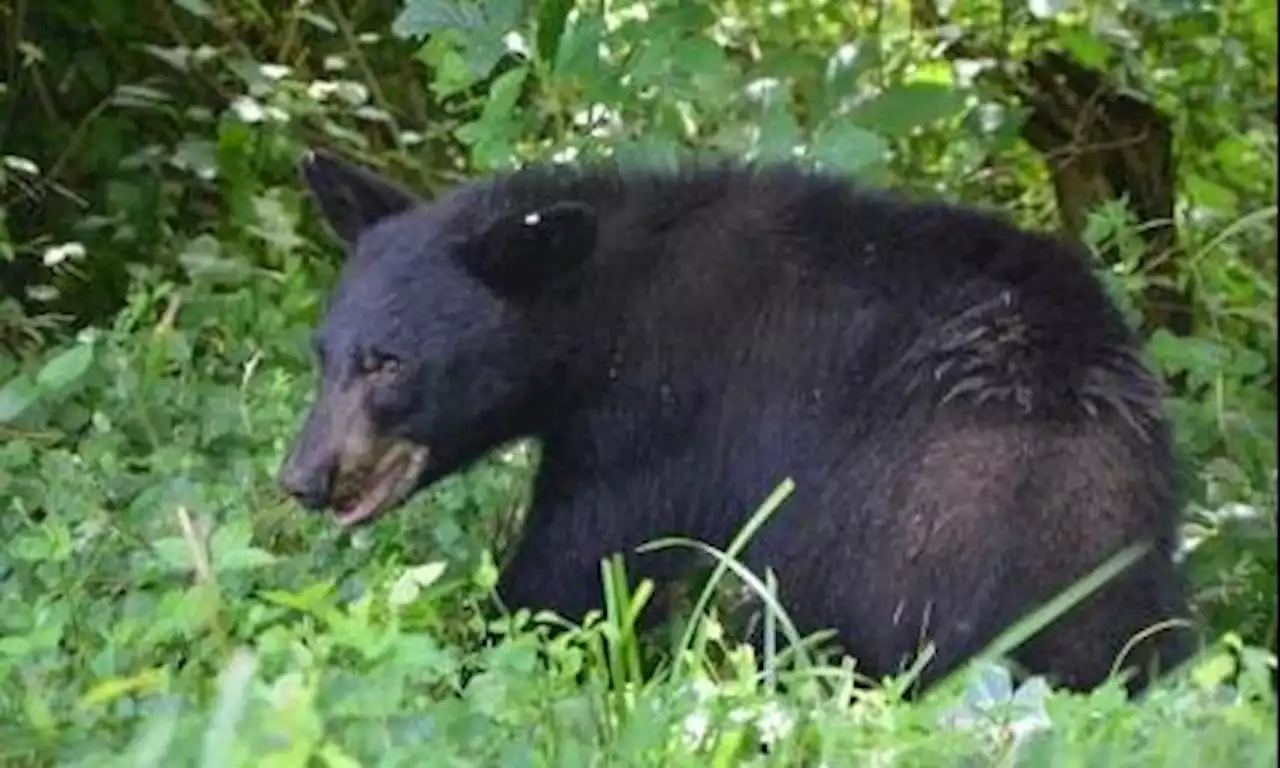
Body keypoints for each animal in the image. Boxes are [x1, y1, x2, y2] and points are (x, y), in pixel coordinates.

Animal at [280, 147, 1198, 701]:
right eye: (326, 352)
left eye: (388, 363)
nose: (304, 477)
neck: (608, 307)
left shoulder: (660, 419)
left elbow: (579, 570)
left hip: (911, 519)